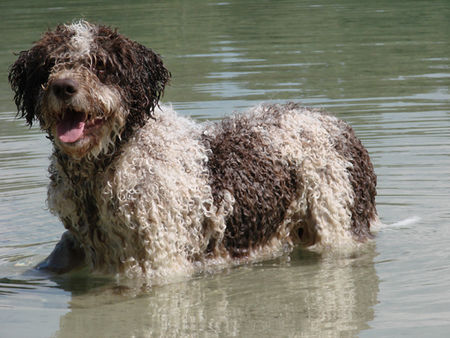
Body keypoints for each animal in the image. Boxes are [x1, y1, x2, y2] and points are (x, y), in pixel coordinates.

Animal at [8, 20, 378, 280]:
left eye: (100, 65)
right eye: (50, 64)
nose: (63, 87)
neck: (107, 165)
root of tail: (341, 125)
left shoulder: (162, 260)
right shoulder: (82, 243)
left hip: (338, 226)